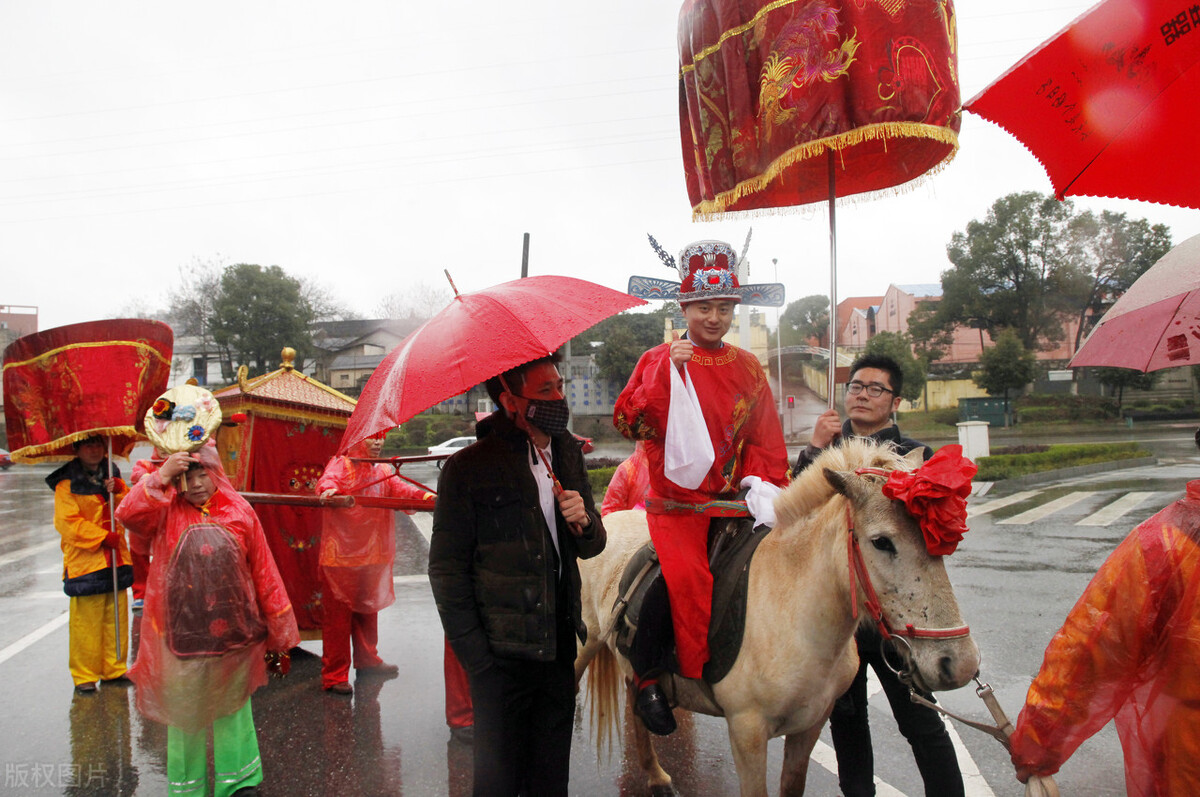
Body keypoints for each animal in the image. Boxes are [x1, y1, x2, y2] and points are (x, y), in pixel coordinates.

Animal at [576, 439, 979, 797]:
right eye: (882, 542)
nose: (957, 663)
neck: (792, 609)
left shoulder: (810, 725)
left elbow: (792, 786)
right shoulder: (747, 731)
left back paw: (655, 775)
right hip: (584, 648)